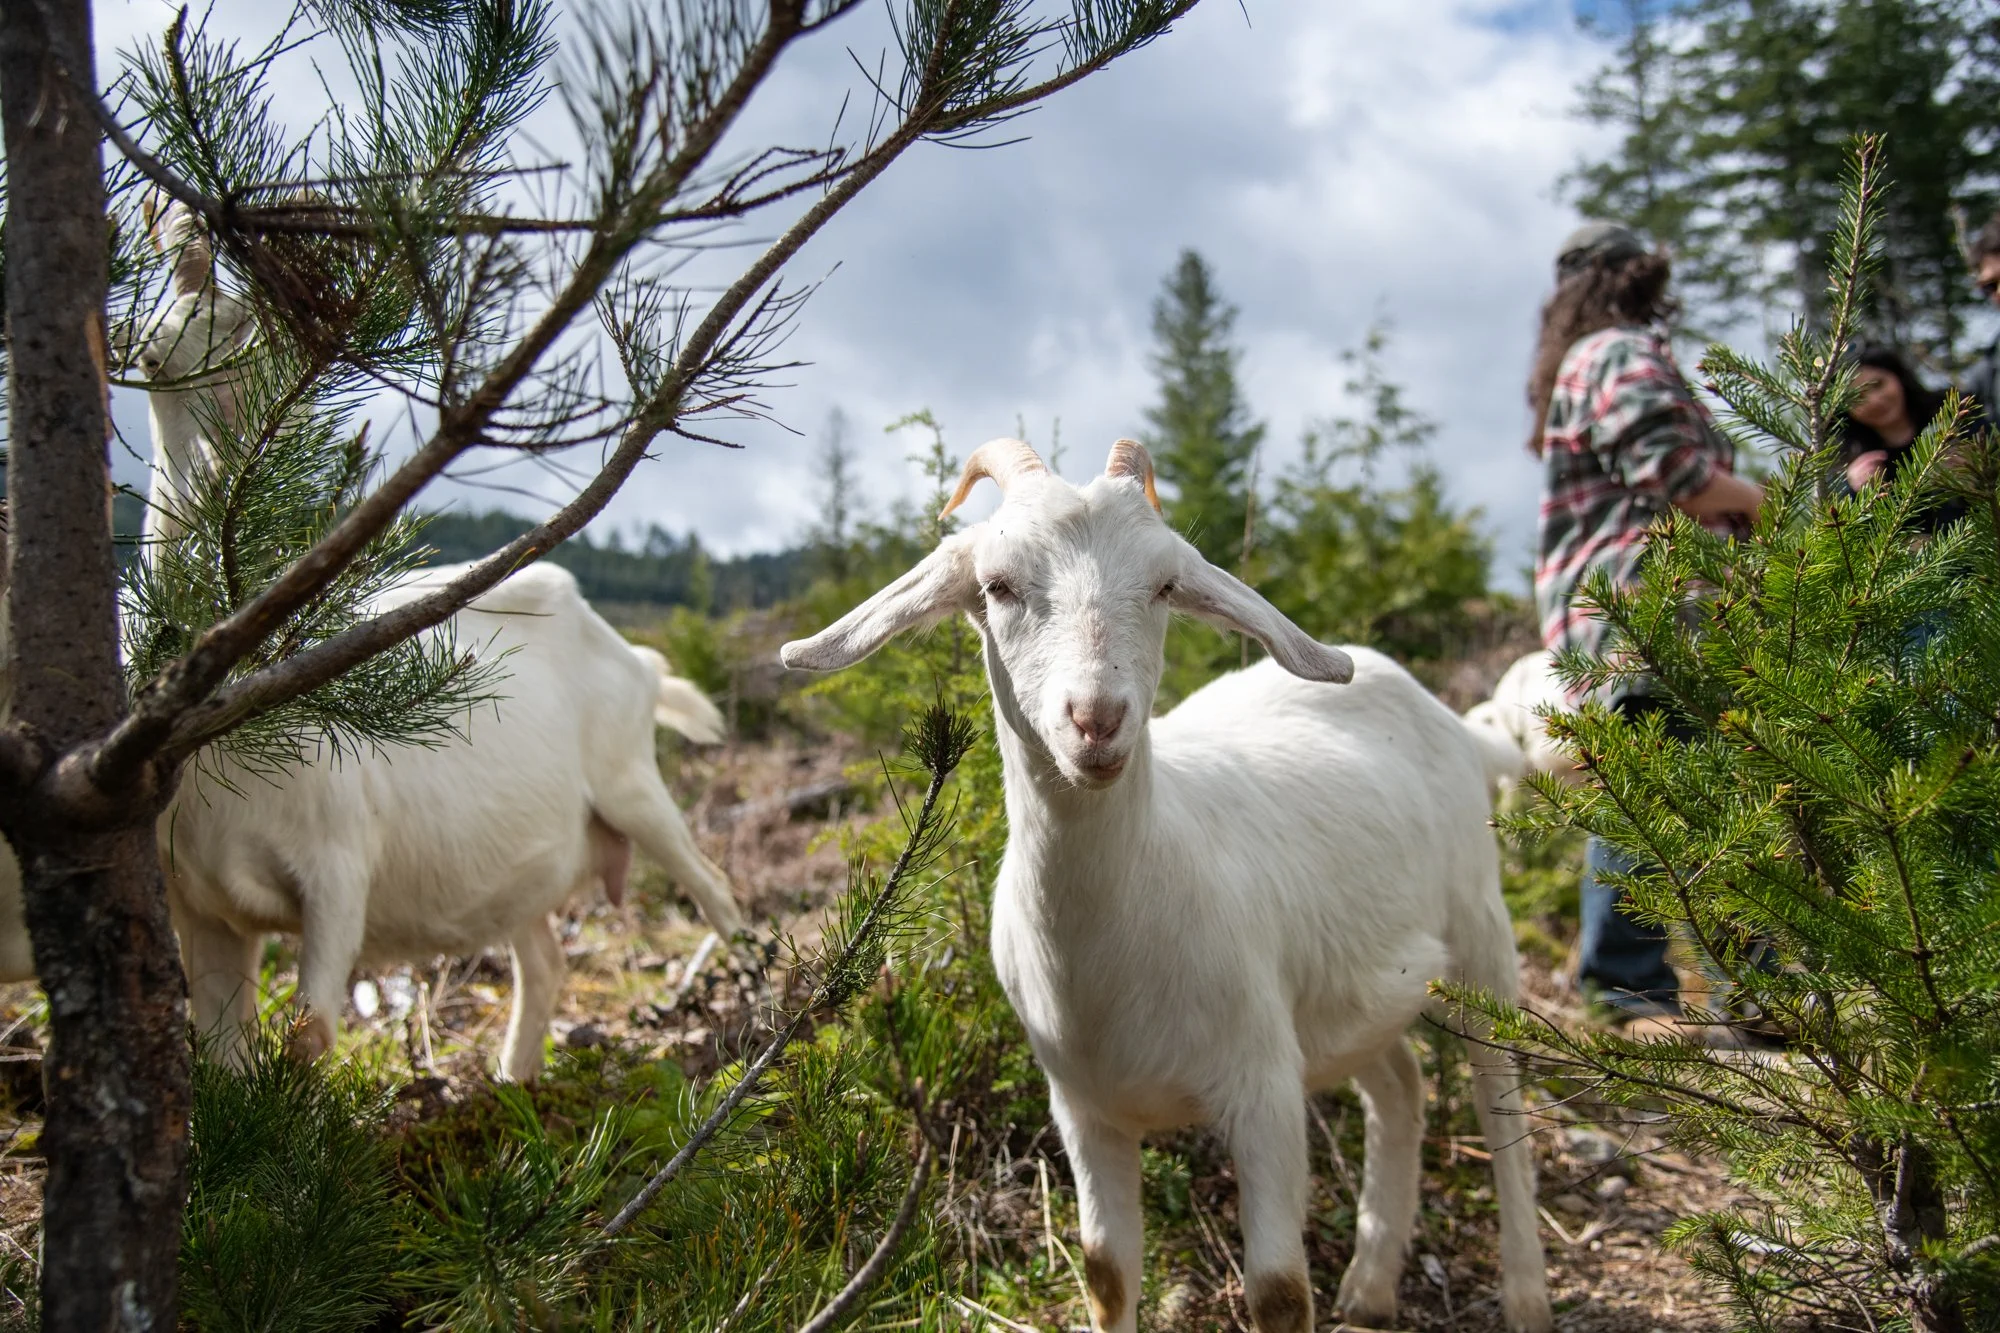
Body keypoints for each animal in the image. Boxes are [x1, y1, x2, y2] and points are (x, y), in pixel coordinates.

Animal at [782, 438, 1551, 1333]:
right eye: (998, 586)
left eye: (1163, 585)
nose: (1096, 719)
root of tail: (1446, 714)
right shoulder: (1083, 1109)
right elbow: (1107, 1273)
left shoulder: (1263, 1089)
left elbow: (1280, 1291)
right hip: (1351, 992)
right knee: (1400, 1085)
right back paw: (1370, 1284)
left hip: (1479, 930)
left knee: (1500, 1095)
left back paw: (1525, 1294)